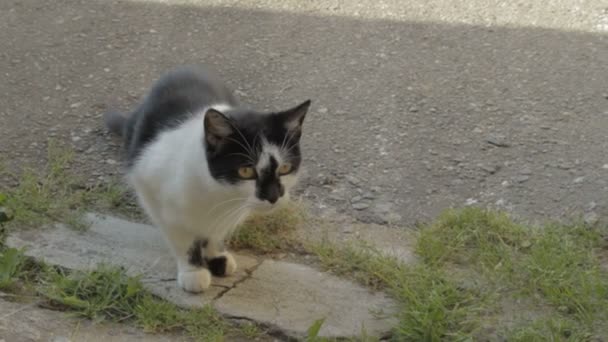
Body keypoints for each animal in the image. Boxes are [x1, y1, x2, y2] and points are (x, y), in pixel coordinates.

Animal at [104, 65, 312, 292]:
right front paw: (193, 271)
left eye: (285, 168)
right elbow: (181, 238)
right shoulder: (151, 187)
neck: (218, 193)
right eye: (246, 171)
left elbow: (216, 231)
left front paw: (216, 256)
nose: (273, 196)